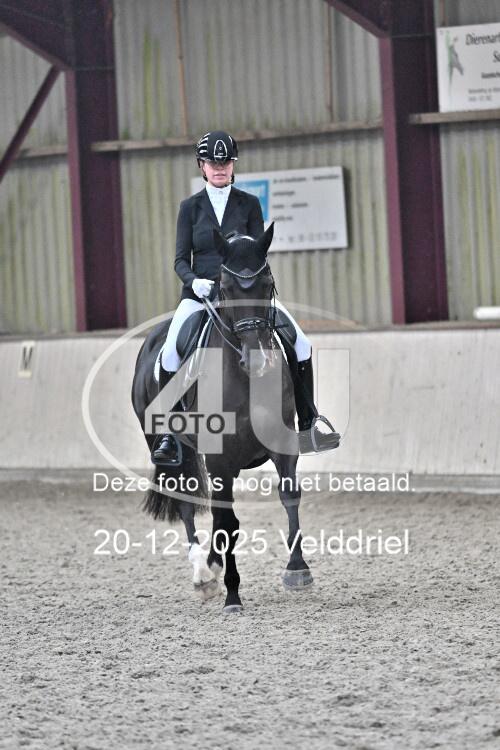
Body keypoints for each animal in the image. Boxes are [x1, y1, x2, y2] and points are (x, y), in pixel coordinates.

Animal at [132, 224, 313, 614]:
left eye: (268, 283)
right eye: (225, 288)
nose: (258, 360)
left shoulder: (283, 446)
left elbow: (288, 495)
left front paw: (297, 569)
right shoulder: (220, 459)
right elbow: (228, 522)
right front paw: (232, 595)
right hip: (172, 451)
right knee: (187, 505)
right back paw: (203, 576)